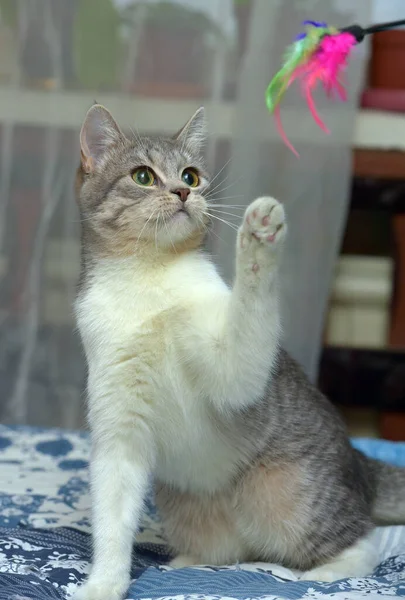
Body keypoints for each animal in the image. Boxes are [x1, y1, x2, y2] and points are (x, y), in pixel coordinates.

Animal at [73, 104, 404, 600]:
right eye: (143, 176)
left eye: (190, 175)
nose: (182, 192)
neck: (152, 278)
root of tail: (357, 461)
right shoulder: (117, 429)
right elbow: (112, 520)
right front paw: (103, 584)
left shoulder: (233, 372)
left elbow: (248, 319)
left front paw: (259, 240)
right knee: (229, 552)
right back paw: (188, 560)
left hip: (286, 491)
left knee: (364, 541)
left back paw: (324, 574)